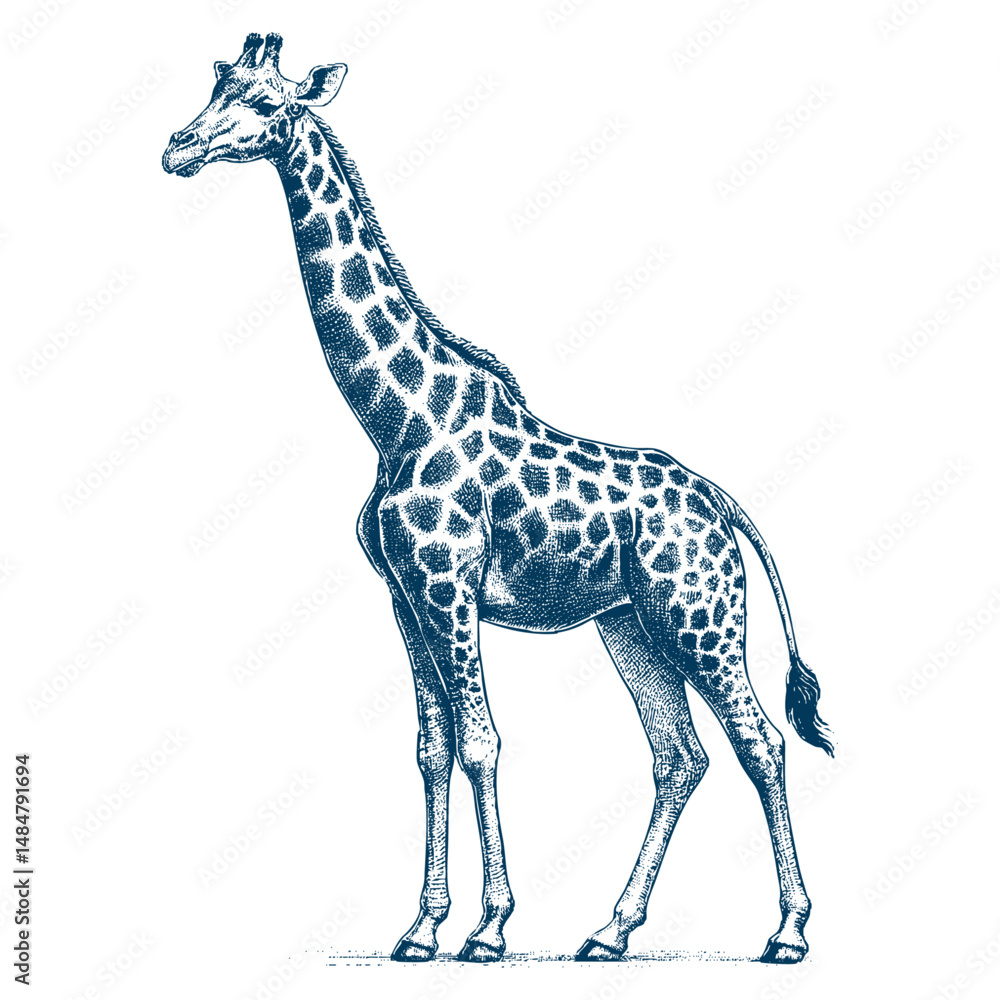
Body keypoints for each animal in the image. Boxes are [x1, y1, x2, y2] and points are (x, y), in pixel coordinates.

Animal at [163, 33, 834, 964]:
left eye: (266, 104)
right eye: (217, 83)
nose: (177, 149)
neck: (395, 418)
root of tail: (726, 507)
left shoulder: (449, 586)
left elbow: (482, 742)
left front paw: (487, 928)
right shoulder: (404, 596)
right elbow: (431, 747)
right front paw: (420, 929)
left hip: (699, 616)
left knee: (760, 741)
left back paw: (788, 932)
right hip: (630, 625)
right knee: (680, 755)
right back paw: (609, 931)